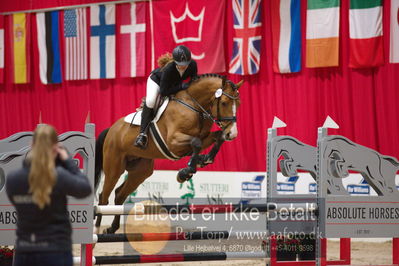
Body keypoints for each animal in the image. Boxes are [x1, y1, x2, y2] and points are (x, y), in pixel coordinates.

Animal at [94, 74, 244, 233]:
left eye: (238, 104)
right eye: (224, 103)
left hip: (140, 172)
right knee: (103, 196)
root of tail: (111, 129)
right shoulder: (173, 142)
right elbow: (196, 142)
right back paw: (96, 228)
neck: (195, 106)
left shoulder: (204, 138)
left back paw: (112, 228)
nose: (233, 133)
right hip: (114, 168)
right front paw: (185, 173)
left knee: (119, 194)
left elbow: (218, 137)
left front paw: (204, 159)